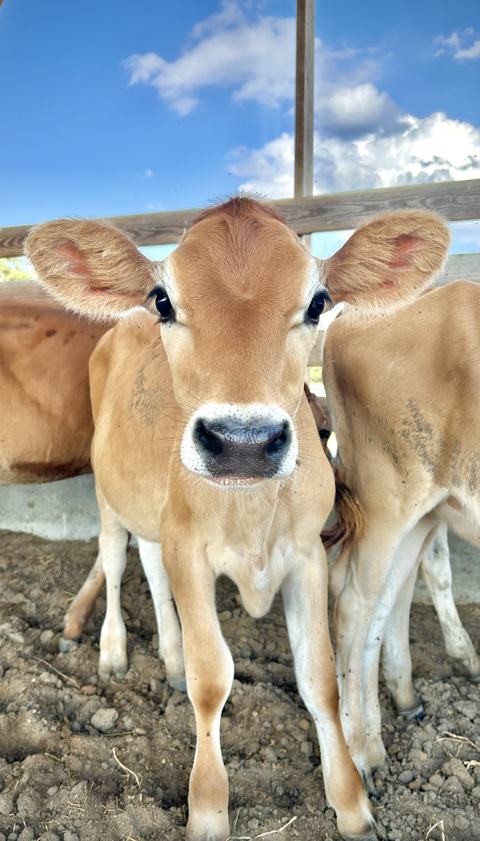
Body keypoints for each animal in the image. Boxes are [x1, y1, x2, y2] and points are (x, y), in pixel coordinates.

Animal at [26, 199, 448, 841]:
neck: (250, 514)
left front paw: (352, 804)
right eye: (163, 300)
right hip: (106, 492)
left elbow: (320, 679)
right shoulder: (189, 548)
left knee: (150, 566)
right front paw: (207, 809)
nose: (242, 442)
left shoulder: (306, 552)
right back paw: (113, 652)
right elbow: (212, 680)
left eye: (318, 302)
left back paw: (168, 659)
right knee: (116, 560)